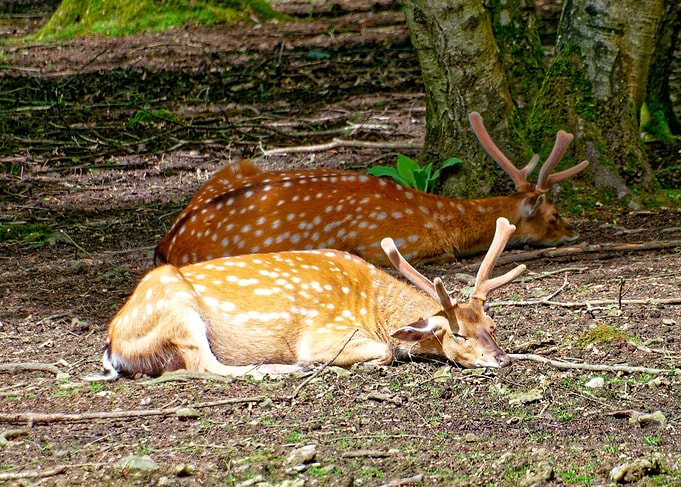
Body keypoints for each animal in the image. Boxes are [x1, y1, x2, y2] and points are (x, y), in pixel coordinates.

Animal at [89, 218, 526, 380]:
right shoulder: (323, 332)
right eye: (458, 335)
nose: (501, 359)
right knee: (204, 364)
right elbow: (385, 351)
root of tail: (113, 342)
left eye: (491, 326)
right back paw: (280, 369)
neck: (373, 309)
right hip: (177, 308)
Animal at [154, 112, 590, 267]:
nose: (574, 231)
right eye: (555, 213)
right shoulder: (388, 241)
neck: (440, 220)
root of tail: (168, 243)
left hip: (233, 166)